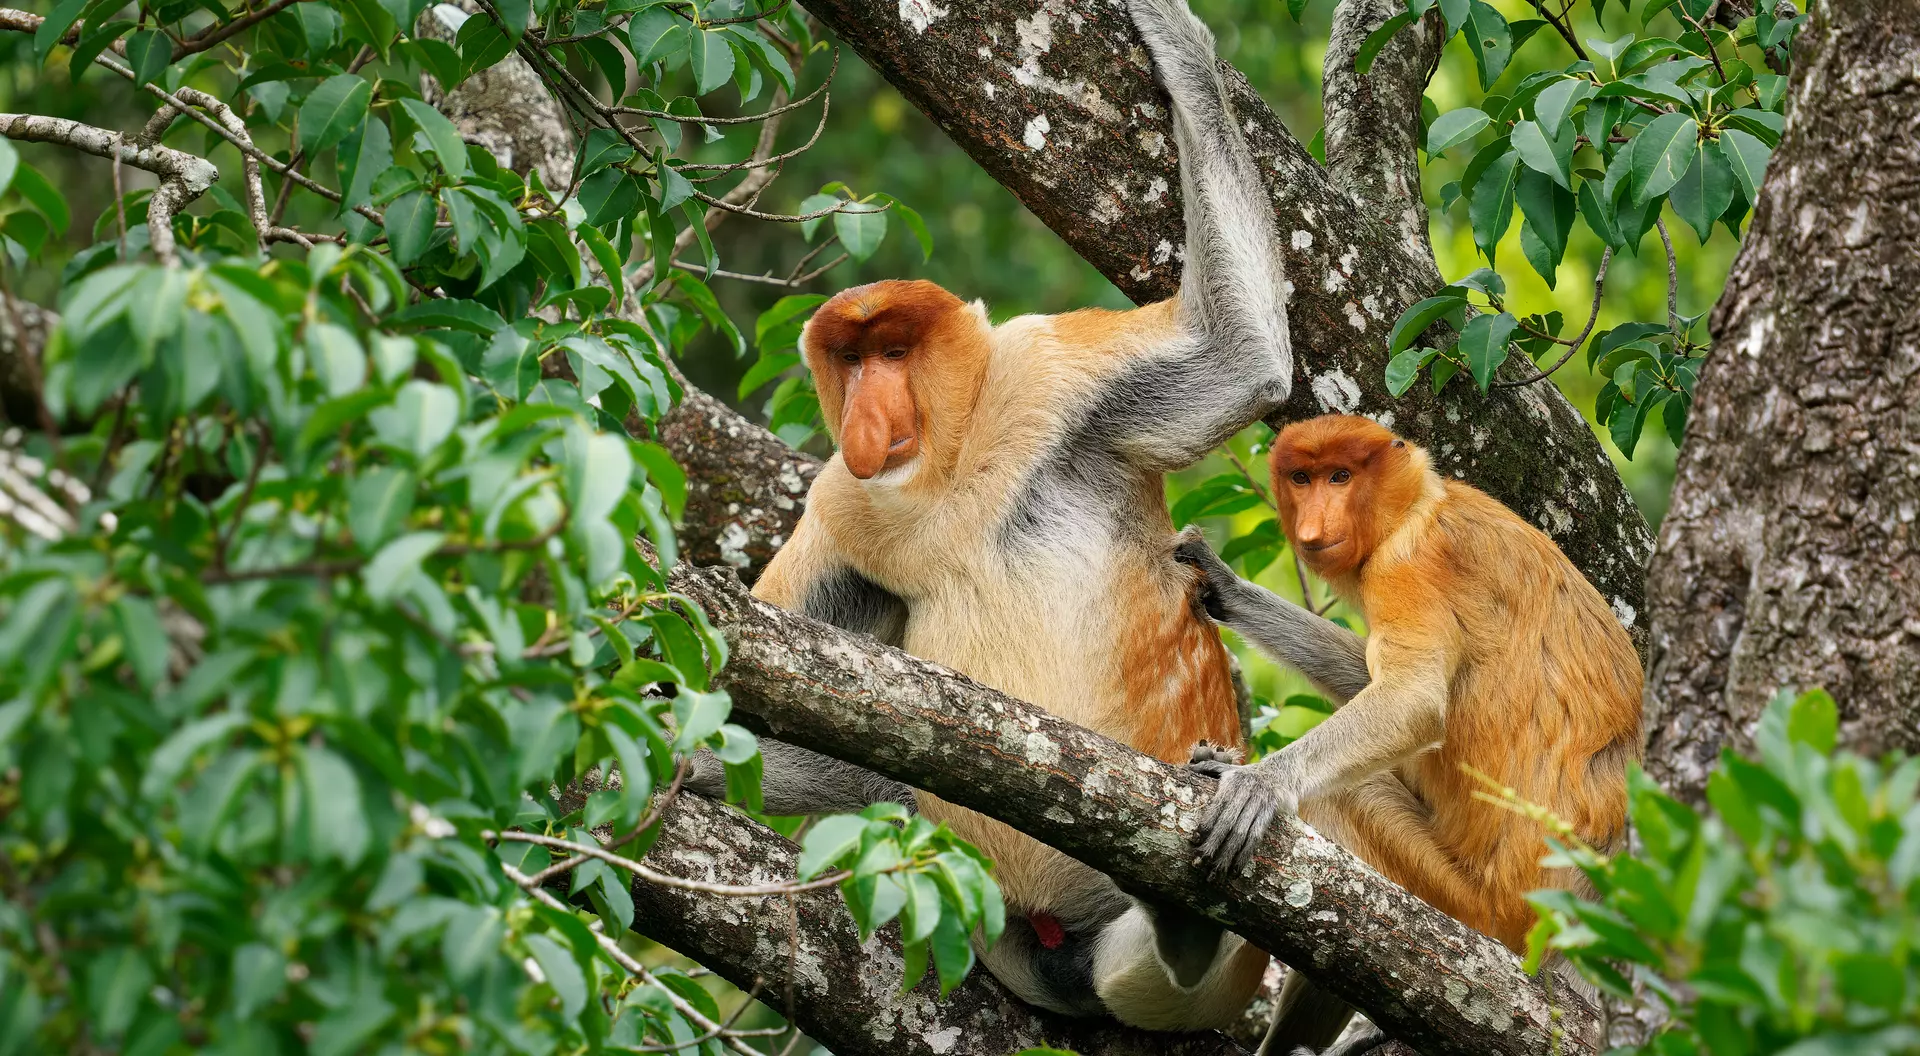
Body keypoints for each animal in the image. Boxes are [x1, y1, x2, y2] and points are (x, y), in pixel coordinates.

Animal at [681, 0, 1345, 1031]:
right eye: (851, 359)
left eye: (897, 350)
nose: (870, 415)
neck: (949, 474)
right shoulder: (842, 505)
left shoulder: (1049, 375)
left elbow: (1241, 362)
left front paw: (1180, 42)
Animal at [1173, 413, 1643, 1054]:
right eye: (1302, 478)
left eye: (1341, 476)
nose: (1314, 524)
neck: (1422, 501)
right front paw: (1223, 584)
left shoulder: (1407, 564)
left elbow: (1411, 699)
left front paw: (1254, 785)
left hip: (1479, 909)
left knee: (1343, 799)